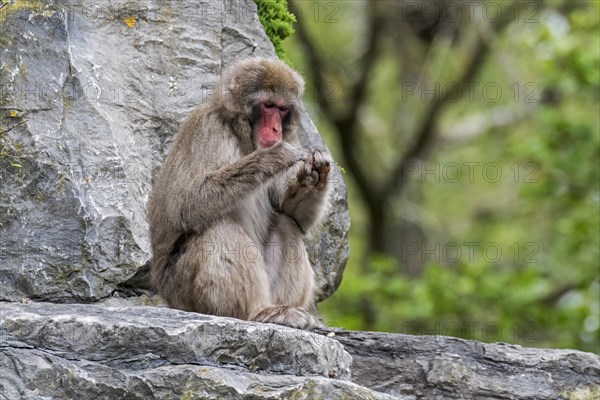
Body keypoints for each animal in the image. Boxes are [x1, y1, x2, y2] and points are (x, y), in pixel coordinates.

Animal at [148, 58, 330, 328]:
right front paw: (275, 156)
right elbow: (186, 205)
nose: (276, 129)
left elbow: (293, 216)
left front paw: (316, 173)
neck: (241, 133)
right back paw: (256, 312)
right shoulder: (208, 128)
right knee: (219, 224)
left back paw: (283, 311)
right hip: (183, 293)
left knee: (286, 223)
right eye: (268, 106)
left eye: (282, 109)